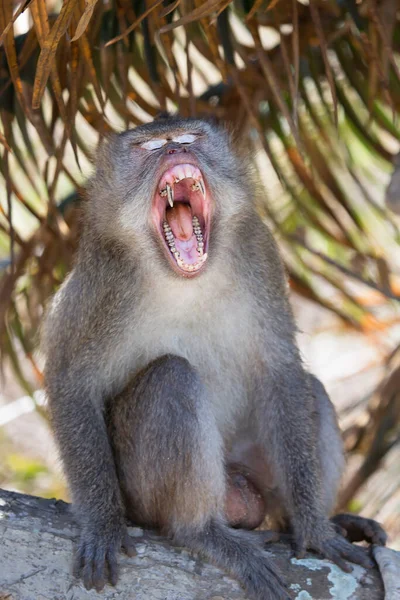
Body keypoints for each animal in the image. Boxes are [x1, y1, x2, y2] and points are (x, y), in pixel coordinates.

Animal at [42, 117, 386, 600]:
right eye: (148, 147)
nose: (173, 151)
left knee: (309, 389)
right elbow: (72, 384)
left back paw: (306, 520)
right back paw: (199, 531)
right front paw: (103, 525)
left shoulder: (258, 252)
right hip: (143, 495)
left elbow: (281, 370)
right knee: (172, 377)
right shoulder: (101, 282)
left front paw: (314, 527)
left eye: (190, 139)